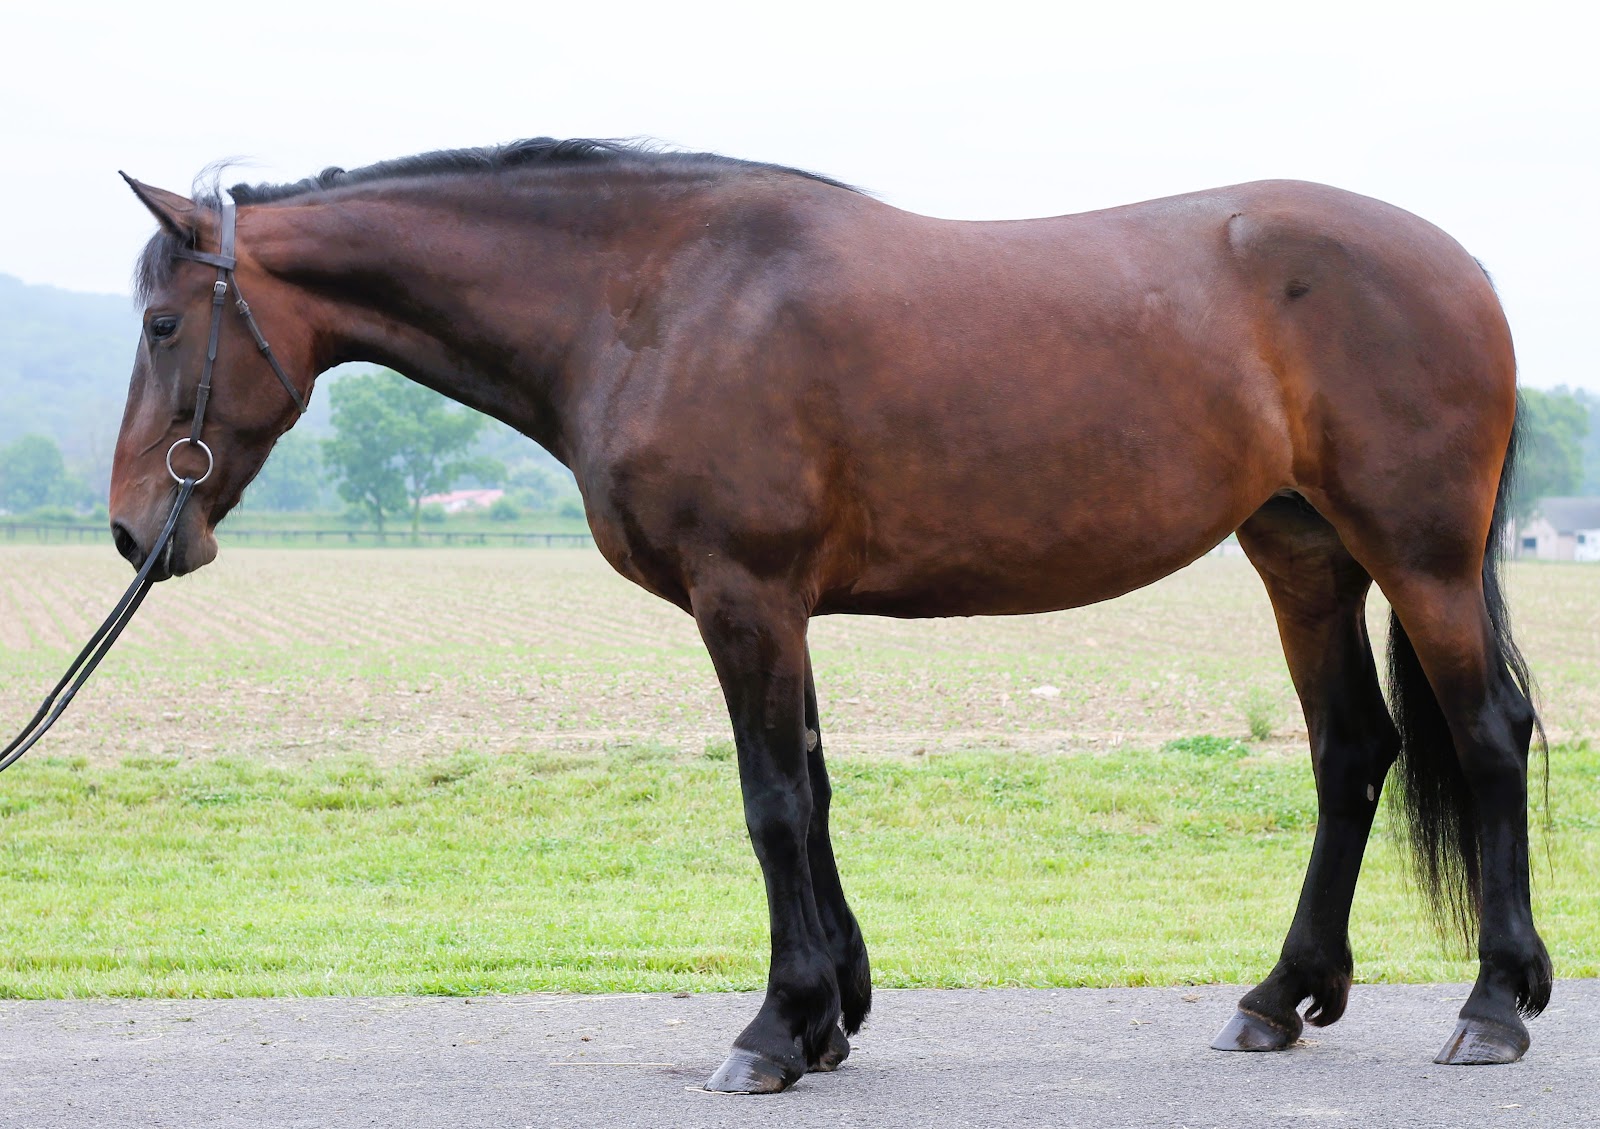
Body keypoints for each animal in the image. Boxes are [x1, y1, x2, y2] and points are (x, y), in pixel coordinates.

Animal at [110, 138, 1550, 1091]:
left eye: (168, 323)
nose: (135, 529)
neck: (655, 299)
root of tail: (1468, 269)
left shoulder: (744, 595)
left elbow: (770, 801)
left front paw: (773, 1030)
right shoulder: (777, 606)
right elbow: (808, 787)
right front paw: (833, 1013)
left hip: (1417, 555)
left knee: (1485, 734)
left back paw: (1494, 1003)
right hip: (1301, 552)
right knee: (1351, 751)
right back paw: (1277, 996)